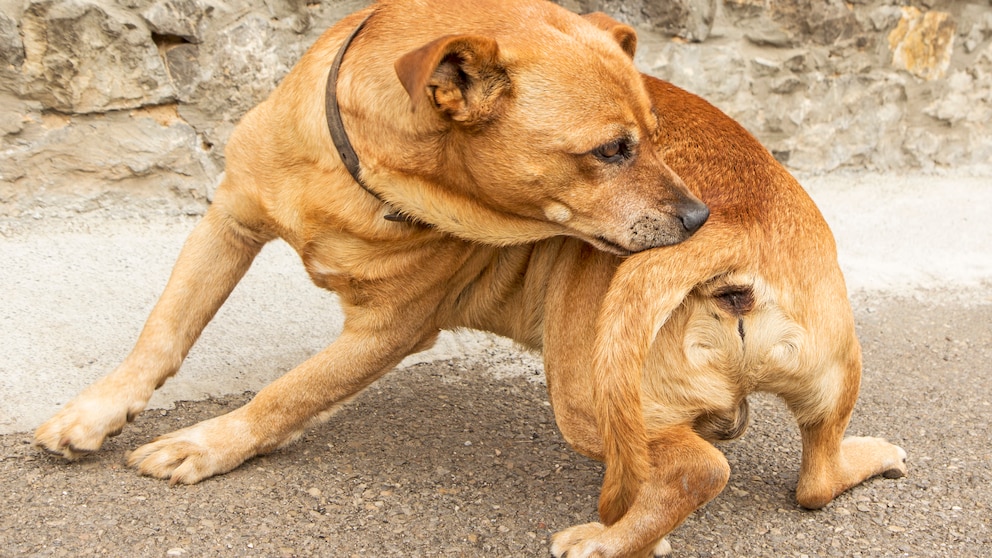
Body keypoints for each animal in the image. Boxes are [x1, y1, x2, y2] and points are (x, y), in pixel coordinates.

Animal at [35, 1, 908, 556]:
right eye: (612, 151)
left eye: (653, 137)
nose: (694, 215)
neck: (358, 172)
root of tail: (738, 247)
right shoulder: (229, 223)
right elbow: (162, 333)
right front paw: (94, 415)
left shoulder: (386, 332)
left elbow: (285, 396)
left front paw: (208, 446)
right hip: (810, 388)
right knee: (813, 479)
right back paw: (861, 458)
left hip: (584, 395)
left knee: (699, 469)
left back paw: (610, 542)